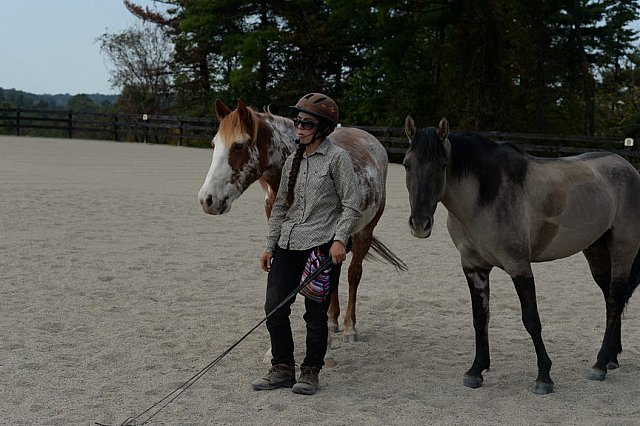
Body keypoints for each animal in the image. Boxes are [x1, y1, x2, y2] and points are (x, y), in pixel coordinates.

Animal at [198, 98, 404, 344]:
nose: (207, 199)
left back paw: (349, 327)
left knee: (354, 274)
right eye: (213, 144)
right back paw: (332, 321)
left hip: (364, 232)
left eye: (238, 145)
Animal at [404, 115, 640, 392]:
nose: (420, 224)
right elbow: (480, 319)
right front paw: (476, 370)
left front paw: (544, 377)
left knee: (615, 300)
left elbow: (531, 319)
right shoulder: (474, 268)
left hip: (623, 249)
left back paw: (600, 365)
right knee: (610, 299)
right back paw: (612, 357)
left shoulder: (519, 266)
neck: (485, 195)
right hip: (597, 251)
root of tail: (628, 168)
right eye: (407, 165)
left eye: (442, 165)